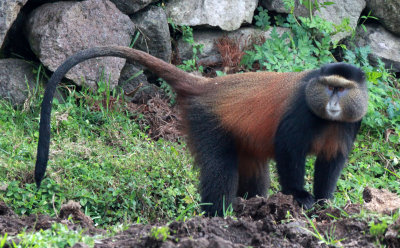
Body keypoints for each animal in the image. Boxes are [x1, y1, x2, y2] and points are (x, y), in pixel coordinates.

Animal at [35, 46, 368, 215]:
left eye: (342, 89)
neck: (326, 119)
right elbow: (288, 151)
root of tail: (207, 86)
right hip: (205, 121)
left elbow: (332, 162)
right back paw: (216, 220)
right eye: (329, 87)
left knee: (255, 176)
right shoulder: (299, 112)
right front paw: (299, 197)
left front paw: (325, 203)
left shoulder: (351, 124)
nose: (333, 103)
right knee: (220, 170)